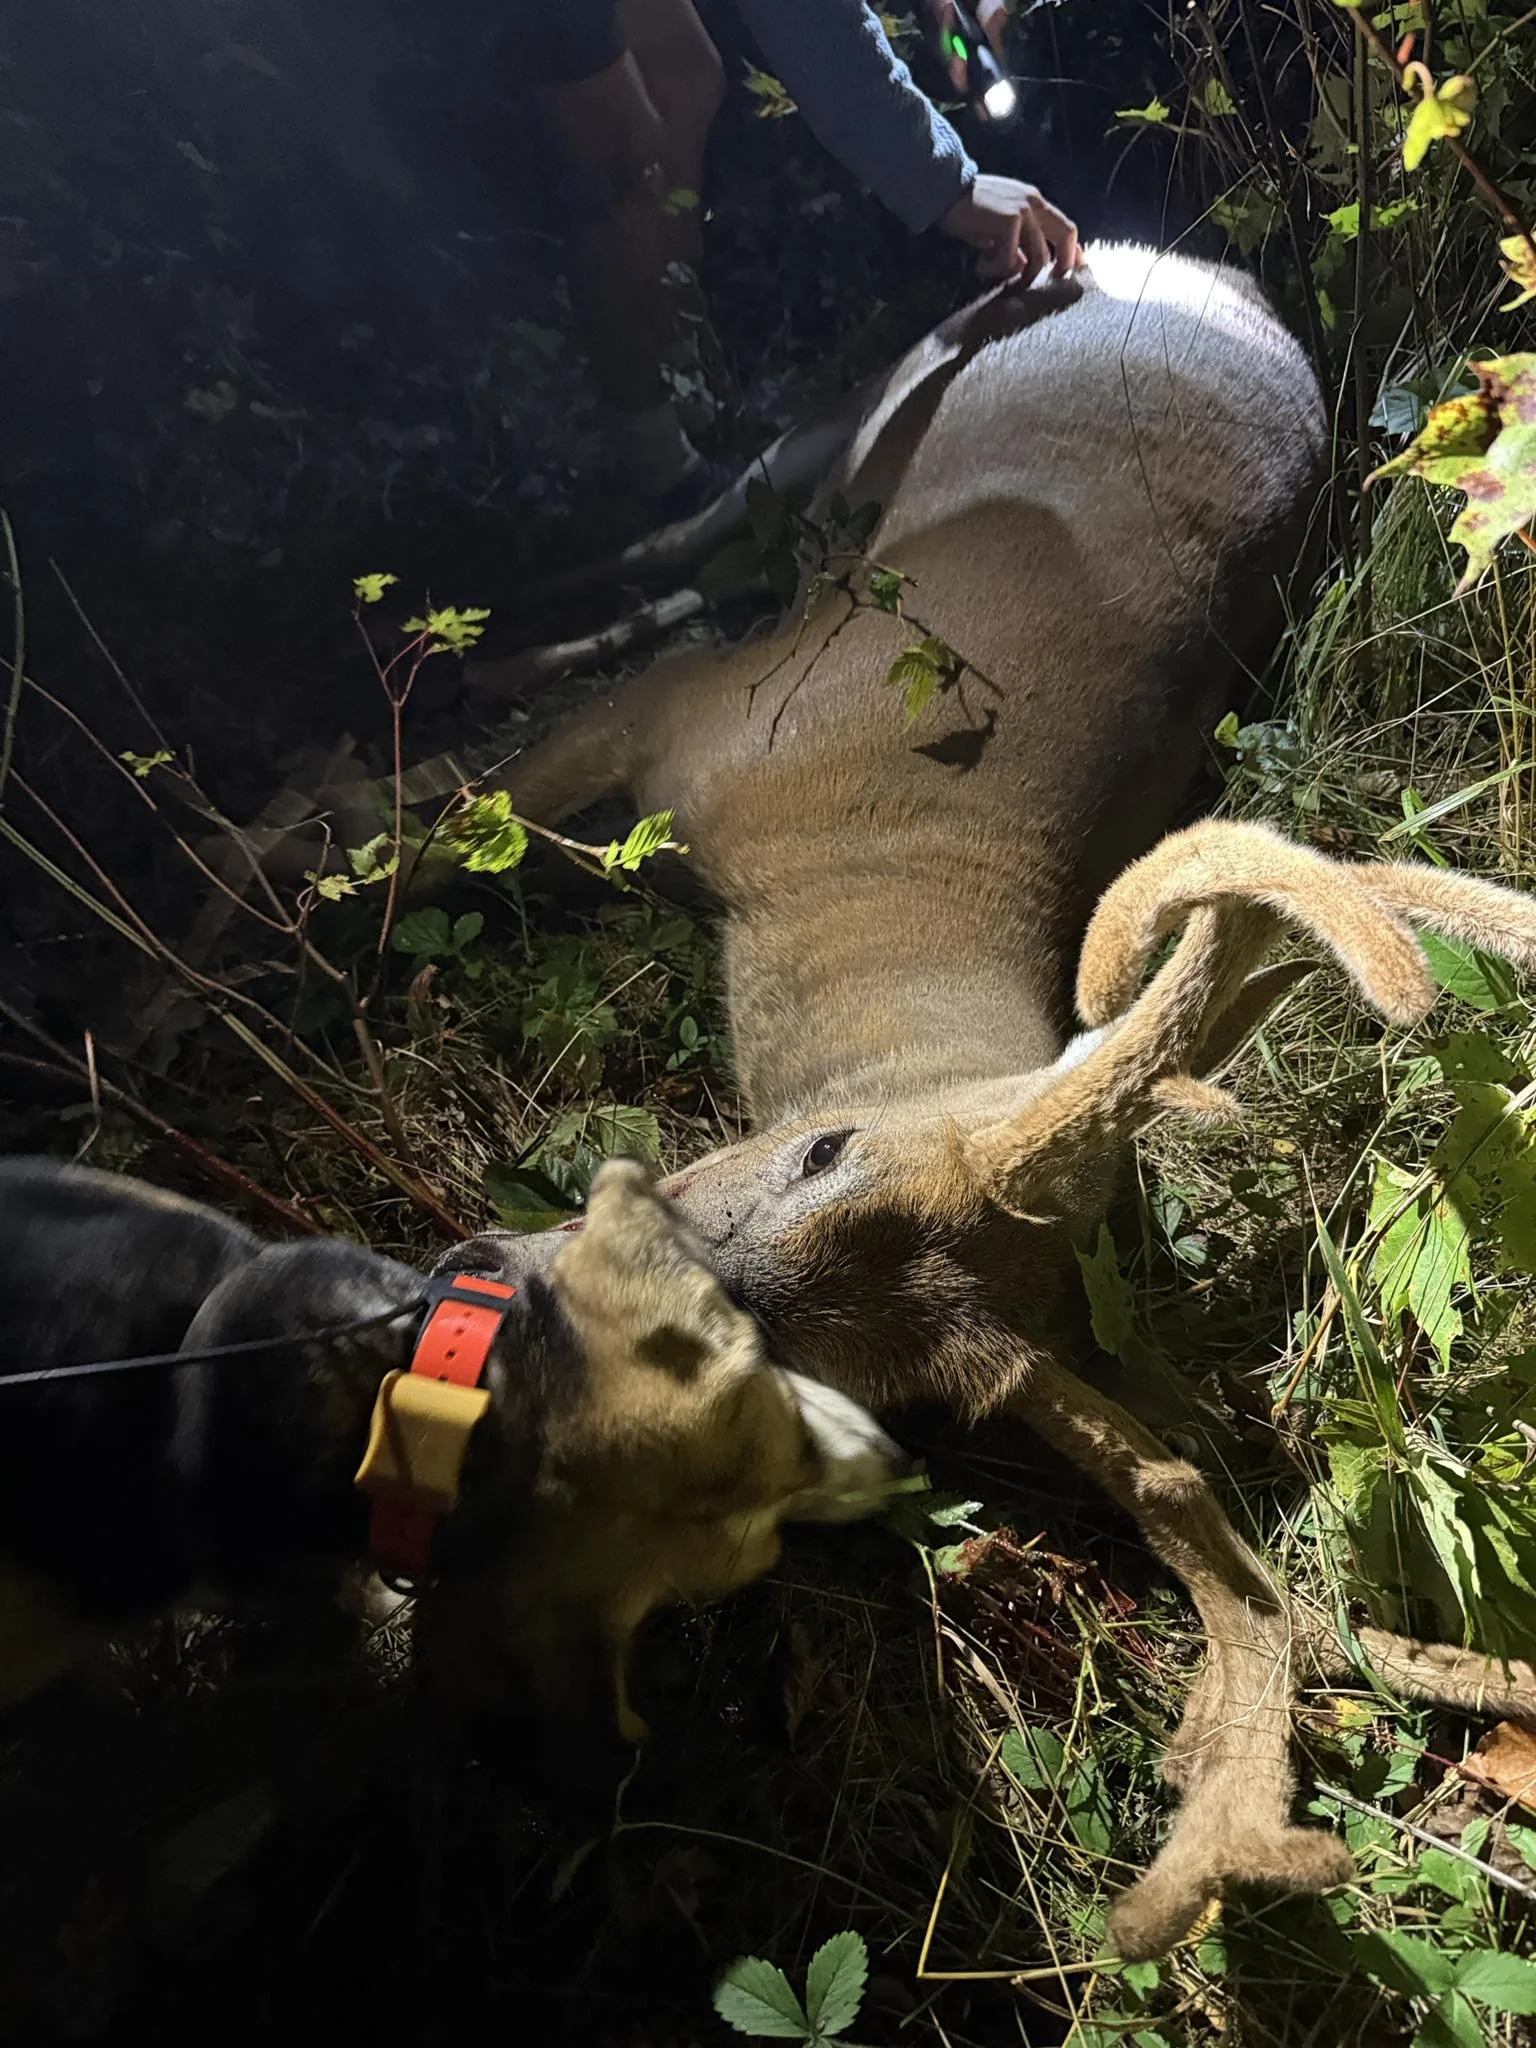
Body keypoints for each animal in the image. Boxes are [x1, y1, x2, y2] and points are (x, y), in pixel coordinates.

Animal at [425, 241, 1536, 1959]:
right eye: (823, 1147)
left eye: (866, 1388)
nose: (565, 1332)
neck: (859, 898)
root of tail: (1228, 282)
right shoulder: (700, 716)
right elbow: (418, 832)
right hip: (889, 397)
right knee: (712, 519)